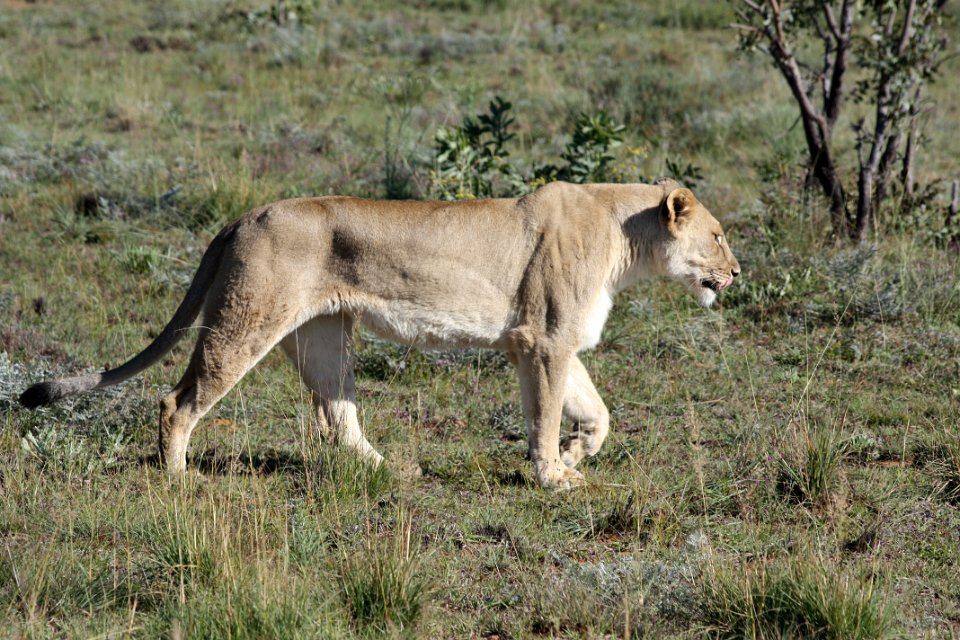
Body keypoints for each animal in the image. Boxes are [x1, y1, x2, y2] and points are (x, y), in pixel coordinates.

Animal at [20, 180, 739, 488]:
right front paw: (552, 476)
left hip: (323, 336)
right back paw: (178, 479)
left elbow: (595, 413)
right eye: (717, 236)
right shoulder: (544, 340)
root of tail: (243, 216)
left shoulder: (545, 340)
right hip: (246, 321)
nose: (736, 271)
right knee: (178, 401)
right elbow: (544, 416)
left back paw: (392, 470)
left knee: (336, 418)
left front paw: (573, 454)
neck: (628, 238)